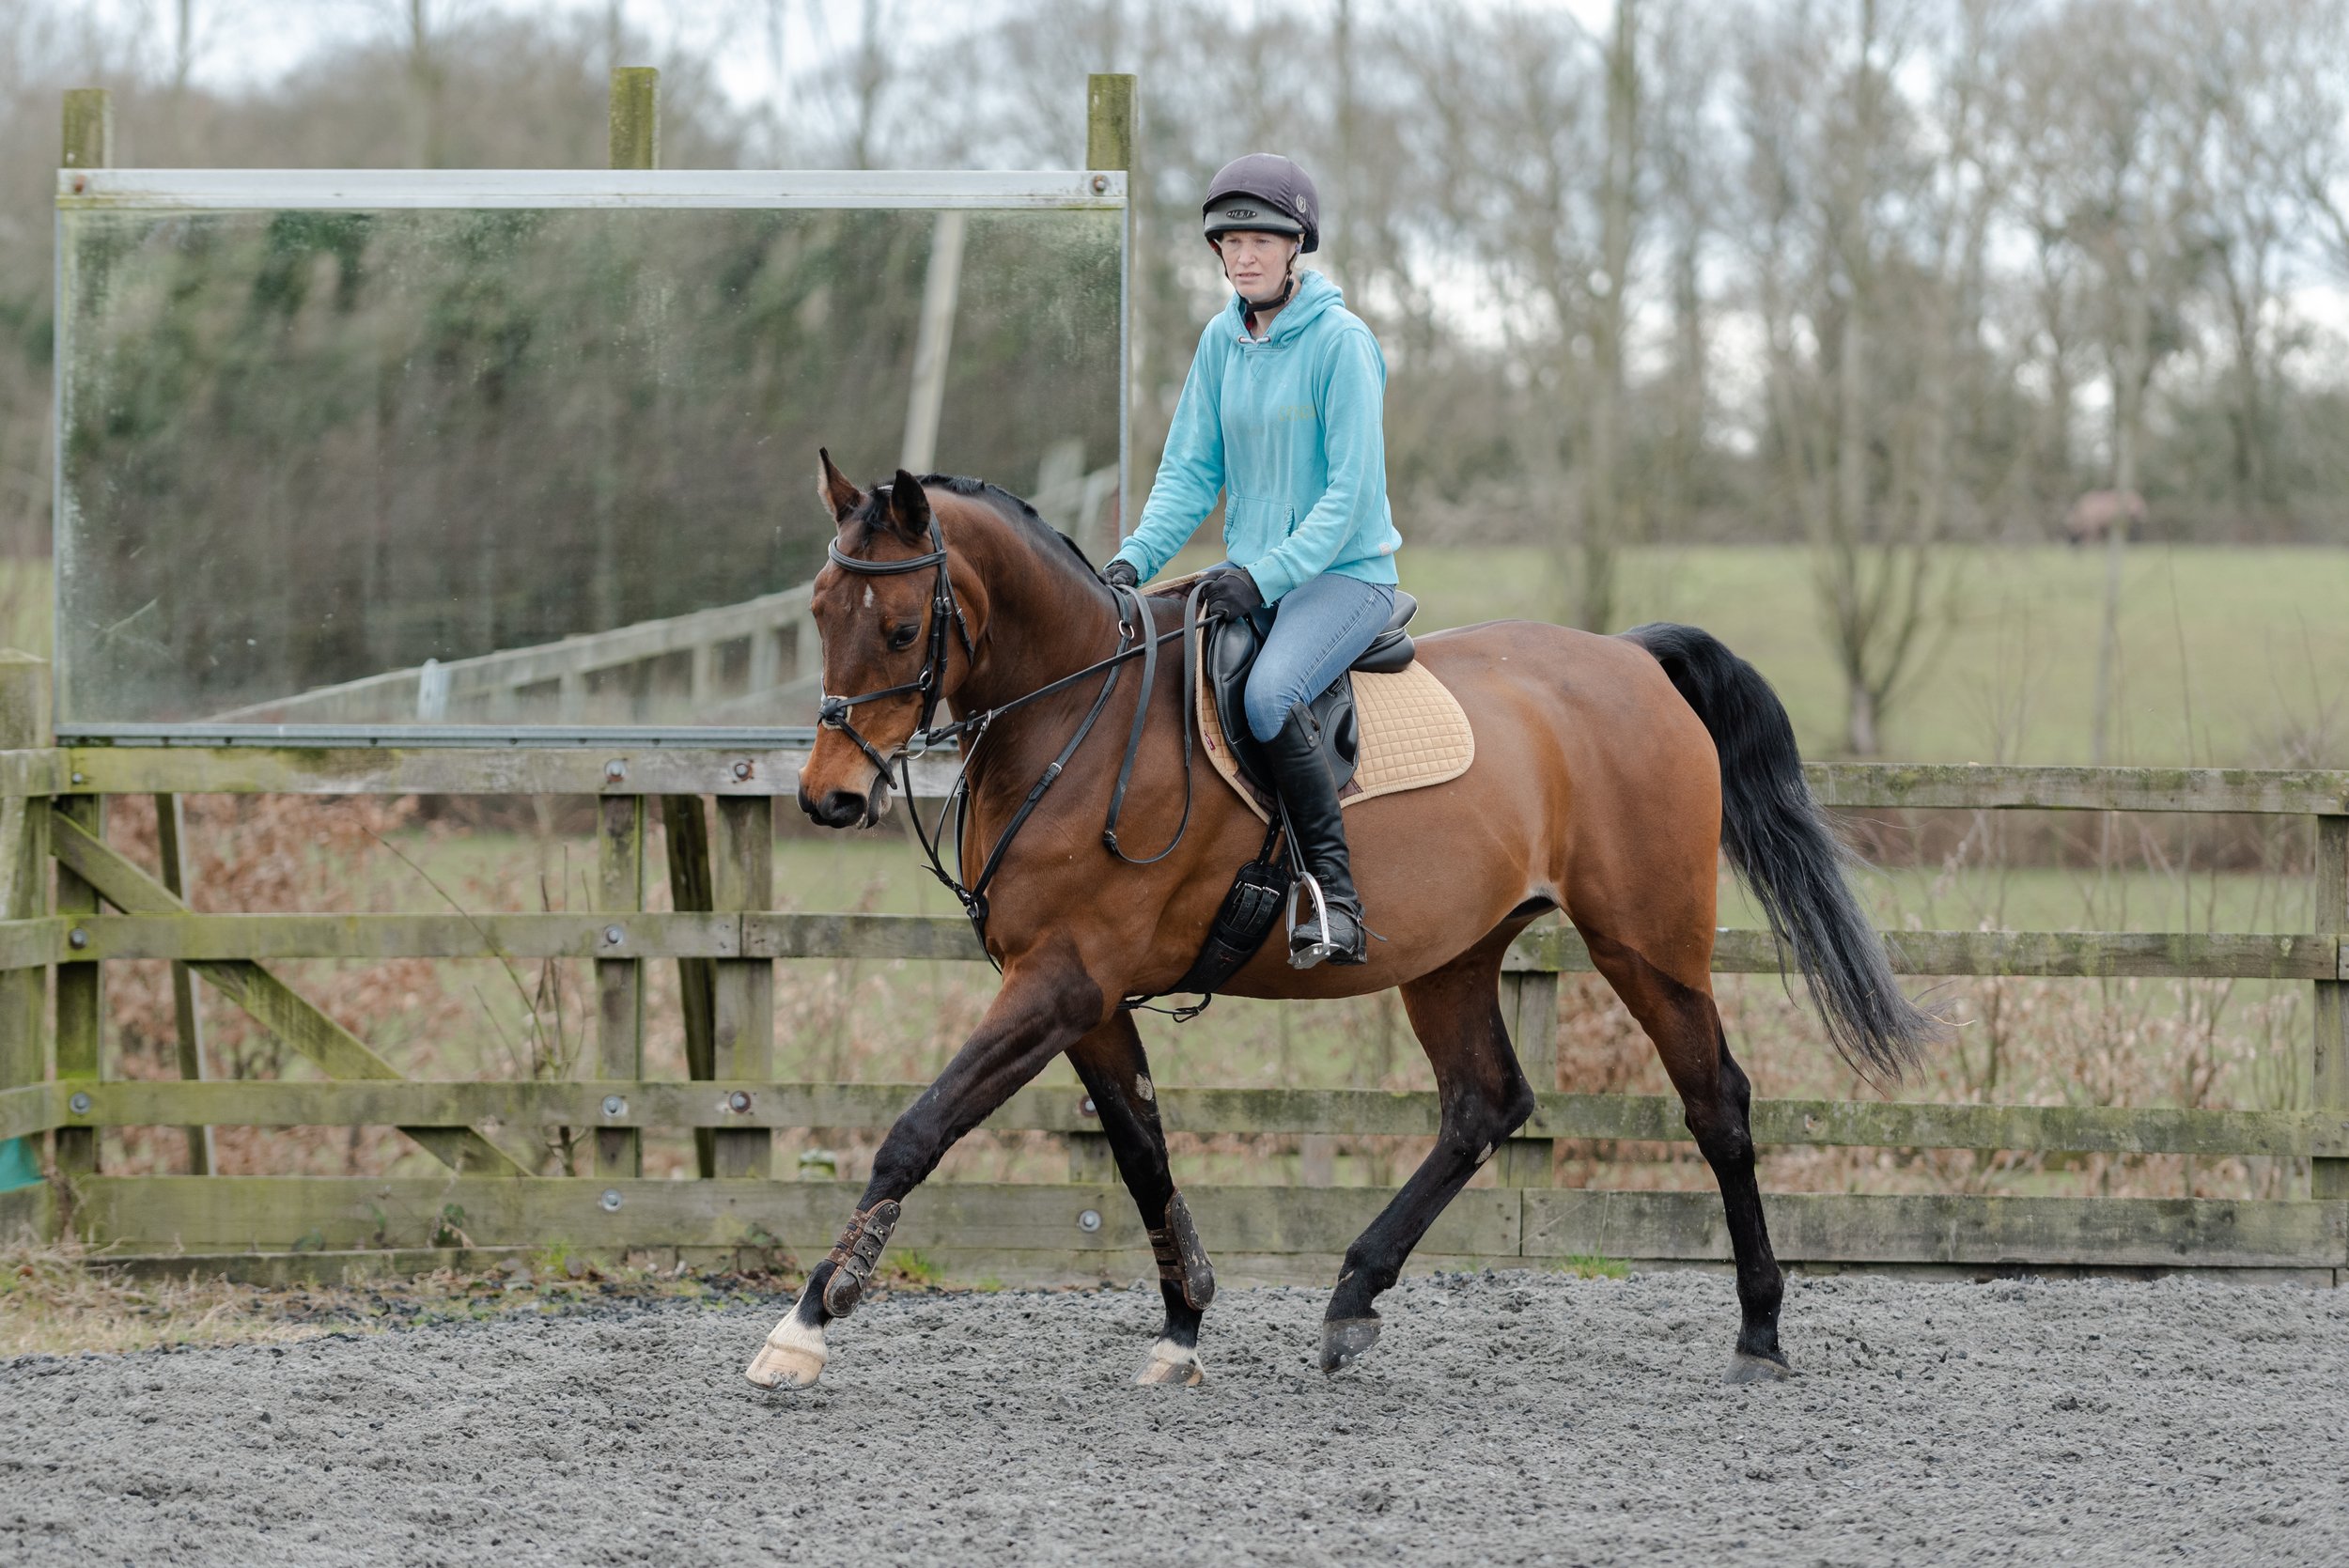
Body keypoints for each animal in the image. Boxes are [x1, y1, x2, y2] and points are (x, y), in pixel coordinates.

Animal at [746, 454, 1943, 1391]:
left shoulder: (1061, 981)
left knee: (1716, 1105)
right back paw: (1353, 1297)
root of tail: (1632, 657)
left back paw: (1759, 1331)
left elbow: (920, 1127)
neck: (1076, 711)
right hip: (1453, 955)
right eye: (816, 612)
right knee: (1484, 1104)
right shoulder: (1082, 997)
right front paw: (1184, 1323)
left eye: (904, 625)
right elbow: (1141, 1152)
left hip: (1646, 943)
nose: (829, 798)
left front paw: (808, 1318)